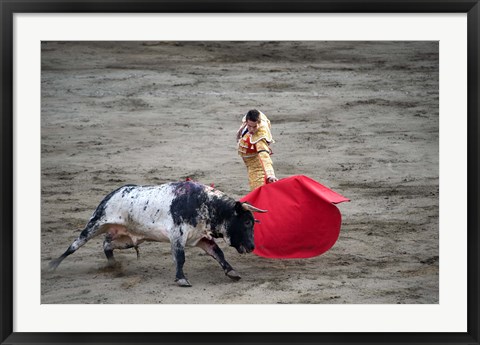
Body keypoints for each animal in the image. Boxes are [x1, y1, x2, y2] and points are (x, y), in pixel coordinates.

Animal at [48, 181, 266, 286]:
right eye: (247, 222)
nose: (252, 246)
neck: (205, 204)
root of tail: (111, 194)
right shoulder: (177, 235)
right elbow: (180, 257)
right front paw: (181, 279)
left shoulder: (201, 237)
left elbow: (217, 253)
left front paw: (232, 272)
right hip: (95, 223)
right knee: (74, 245)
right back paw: (53, 266)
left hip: (127, 239)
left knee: (107, 244)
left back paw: (113, 265)